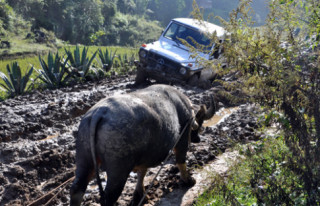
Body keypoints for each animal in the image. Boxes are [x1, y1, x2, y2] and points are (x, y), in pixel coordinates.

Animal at [70, 84, 215, 206]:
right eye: (200, 123)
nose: (198, 139)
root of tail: (99, 112)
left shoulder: (145, 157)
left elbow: (142, 173)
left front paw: (140, 196)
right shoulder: (182, 139)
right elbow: (181, 161)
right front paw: (188, 181)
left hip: (84, 159)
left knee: (77, 189)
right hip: (118, 170)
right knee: (109, 197)